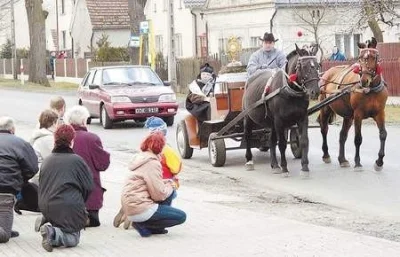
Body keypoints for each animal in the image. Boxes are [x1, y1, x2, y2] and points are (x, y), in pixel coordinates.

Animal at [242, 44, 320, 176]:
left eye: (318, 65)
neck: (289, 89)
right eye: (303, 66)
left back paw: (274, 164)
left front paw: (304, 167)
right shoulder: (279, 121)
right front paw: (284, 167)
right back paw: (249, 161)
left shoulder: (303, 118)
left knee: (271, 140)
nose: (315, 91)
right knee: (247, 136)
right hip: (249, 118)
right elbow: (282, 144)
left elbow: (304, 140)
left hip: (272, 123)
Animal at [318, 37, 388, 170]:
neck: (370, 90)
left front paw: (379, 161)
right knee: (324, 129)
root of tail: (327, 72)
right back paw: (326, 154)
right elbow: (358, 139)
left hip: (348, 116)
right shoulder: (358, 115)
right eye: (360, 58)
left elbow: (383, 134)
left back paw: (342, 159)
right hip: (326, 108)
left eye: (373, 57)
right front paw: (357, 162)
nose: (364, 80)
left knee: (342, 135)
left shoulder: (380, 113)